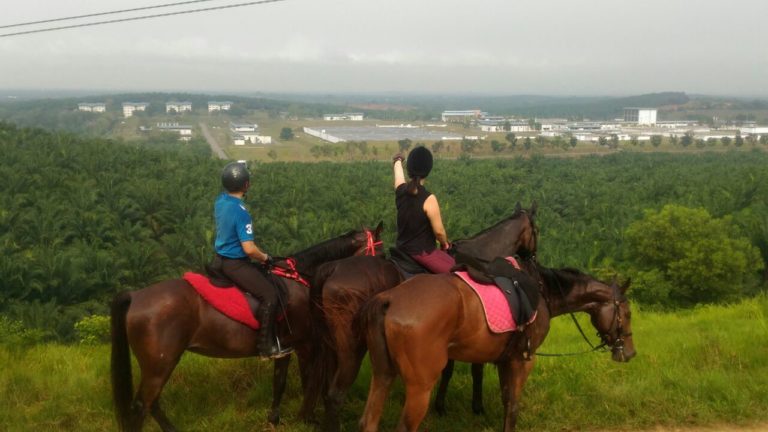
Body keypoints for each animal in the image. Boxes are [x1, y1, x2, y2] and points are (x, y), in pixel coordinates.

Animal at [108, 223, 384, 432]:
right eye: (381, 252)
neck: (299, 279)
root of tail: (136, 295)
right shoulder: (304, 344)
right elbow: (307, 381)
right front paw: (308, 418)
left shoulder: (285, 346)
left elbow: (279, 382)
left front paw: (274, 419)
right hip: (161, 362)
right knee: (142, 406)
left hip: (159, 363)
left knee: (152, 403)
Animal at [304, 203, 536, 432]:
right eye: (536, 230)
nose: (532, 259)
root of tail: (334, 267)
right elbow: (471, 368)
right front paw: (472, 407)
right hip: (353, 346)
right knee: (335, 394)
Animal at [360, 260, 636, 432]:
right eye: (628, 313)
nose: (631, 353)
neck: (542, 292)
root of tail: (390, 298)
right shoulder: (523, 360)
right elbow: (512, 407)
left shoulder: (506, 360)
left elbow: (506, 402)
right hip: (420, 387)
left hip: (382, 376)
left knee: (368, 422)